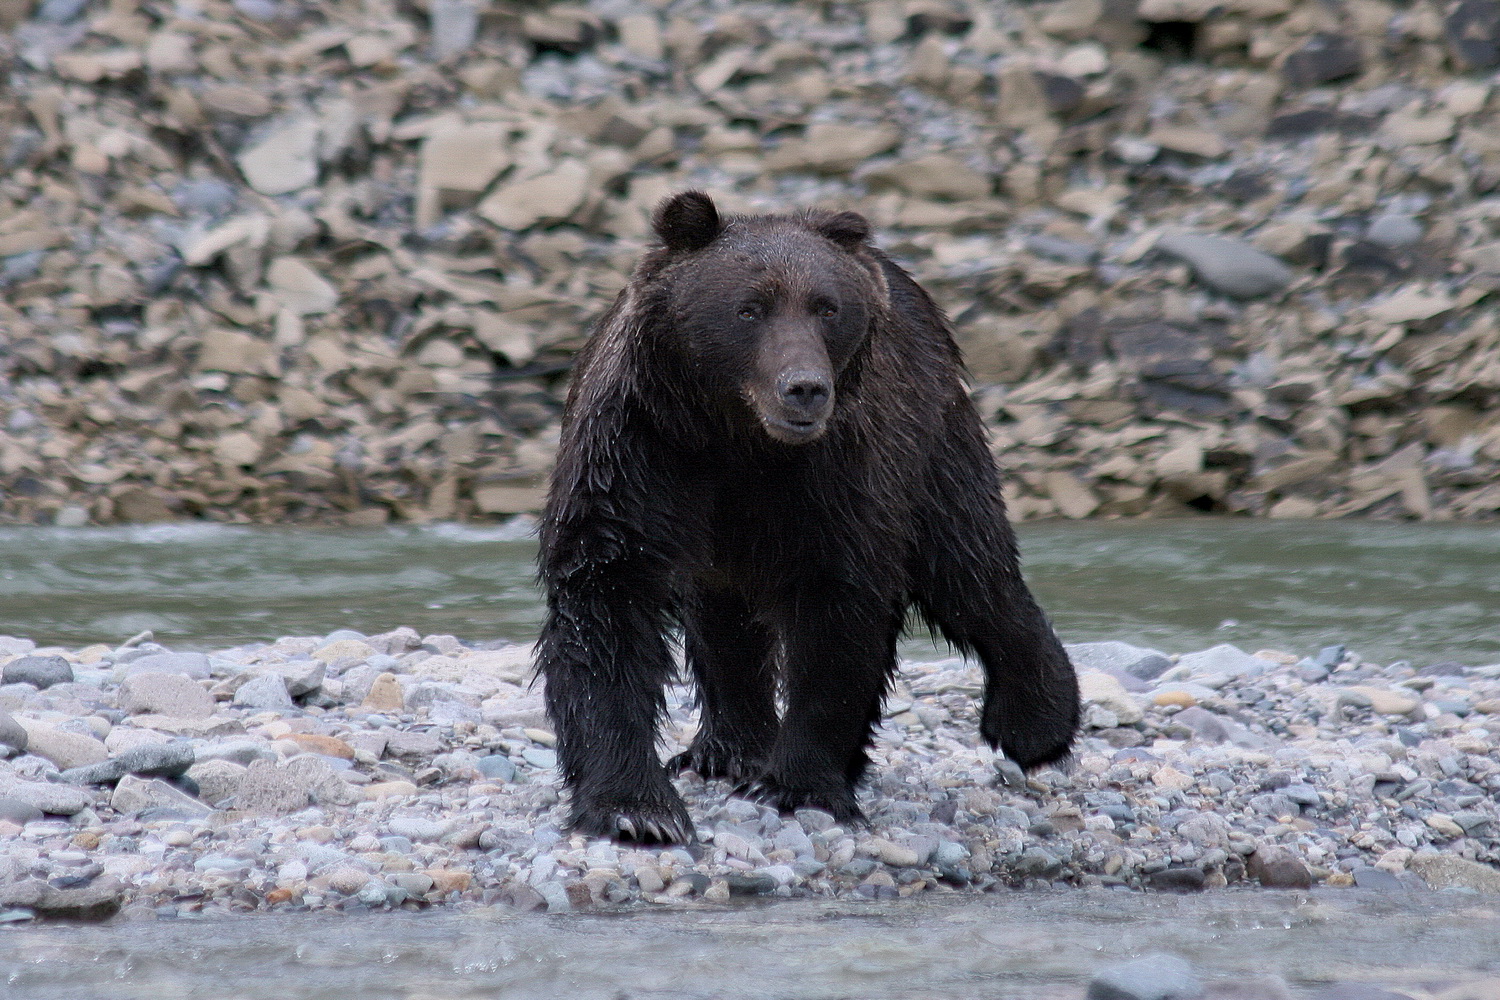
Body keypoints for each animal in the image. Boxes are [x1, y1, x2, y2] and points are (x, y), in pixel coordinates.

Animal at [535, 191, 1079, 844]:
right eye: (749, 308)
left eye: (826, 307)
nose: (805, 388)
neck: (736, 436)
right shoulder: (640, 449)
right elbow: (607, 594)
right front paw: (637, 809)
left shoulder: (836, 474)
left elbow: (837, 610)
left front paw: (797, 785)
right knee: (722, 615)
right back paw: (728, 749)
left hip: (930, 431)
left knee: (968, 565)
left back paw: (1035, 721)